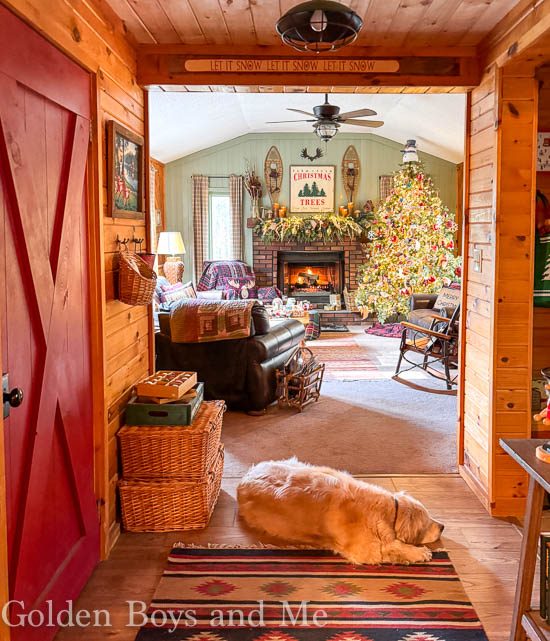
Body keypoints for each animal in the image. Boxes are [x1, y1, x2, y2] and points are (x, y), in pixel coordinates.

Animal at [239, 456, 446, 564]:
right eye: (427, 523)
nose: (443, 526)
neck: (388, 512)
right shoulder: (364, 551)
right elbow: (391, 546)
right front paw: (419, 553)